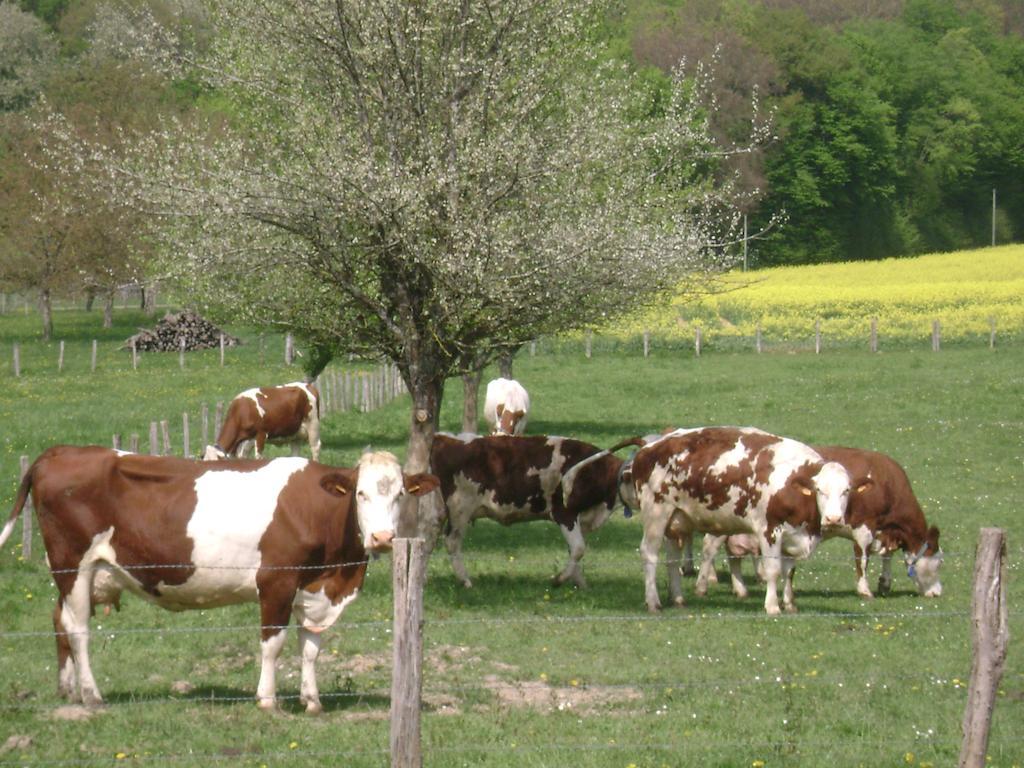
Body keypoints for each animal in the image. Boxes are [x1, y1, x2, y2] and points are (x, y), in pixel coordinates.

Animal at [0, 444, 436, 716]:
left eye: (400, 494)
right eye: (360, 494)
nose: (383, 538)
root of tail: (60, 451)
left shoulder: (315, 590)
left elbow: (311, 647)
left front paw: (311, 701)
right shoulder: (276, 583)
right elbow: (273, 645)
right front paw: (268, 700)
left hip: (80, 574)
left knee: (59, 620)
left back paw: (67, 689)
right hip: (73, 565)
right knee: (77, 629)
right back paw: (92, 695)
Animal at [425, 434, 630, 589]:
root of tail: (445, 439)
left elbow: (573, 551)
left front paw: (580, 584)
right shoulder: (565, 513)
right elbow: (579, 549)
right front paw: (559, 580)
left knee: (429, 539)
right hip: (460, 510)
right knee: (452, 542)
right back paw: (466, 581)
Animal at [618, 423, 868, 618]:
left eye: (846, 490)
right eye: (819, 490)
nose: (834, 518)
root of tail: (649, 448)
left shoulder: (793, 534)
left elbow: (789, 571)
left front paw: (790, 604)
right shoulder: (769, 530)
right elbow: (773, 570)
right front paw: (772, 606)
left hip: (677, 520)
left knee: (672, 559)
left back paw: (678, 598)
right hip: (656, 513)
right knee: (649, 554)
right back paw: (653, 602)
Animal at [696, 448, 942, 606]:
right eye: (939, 563)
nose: (938, 593)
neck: (886, 483)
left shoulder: (884, 531)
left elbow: (887, 554)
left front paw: (885, 583)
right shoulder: (863, 528)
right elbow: (862, 559)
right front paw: (865, 590)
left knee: (733, 554)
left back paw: (740, 590)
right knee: (709, 547)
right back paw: (702, 586)